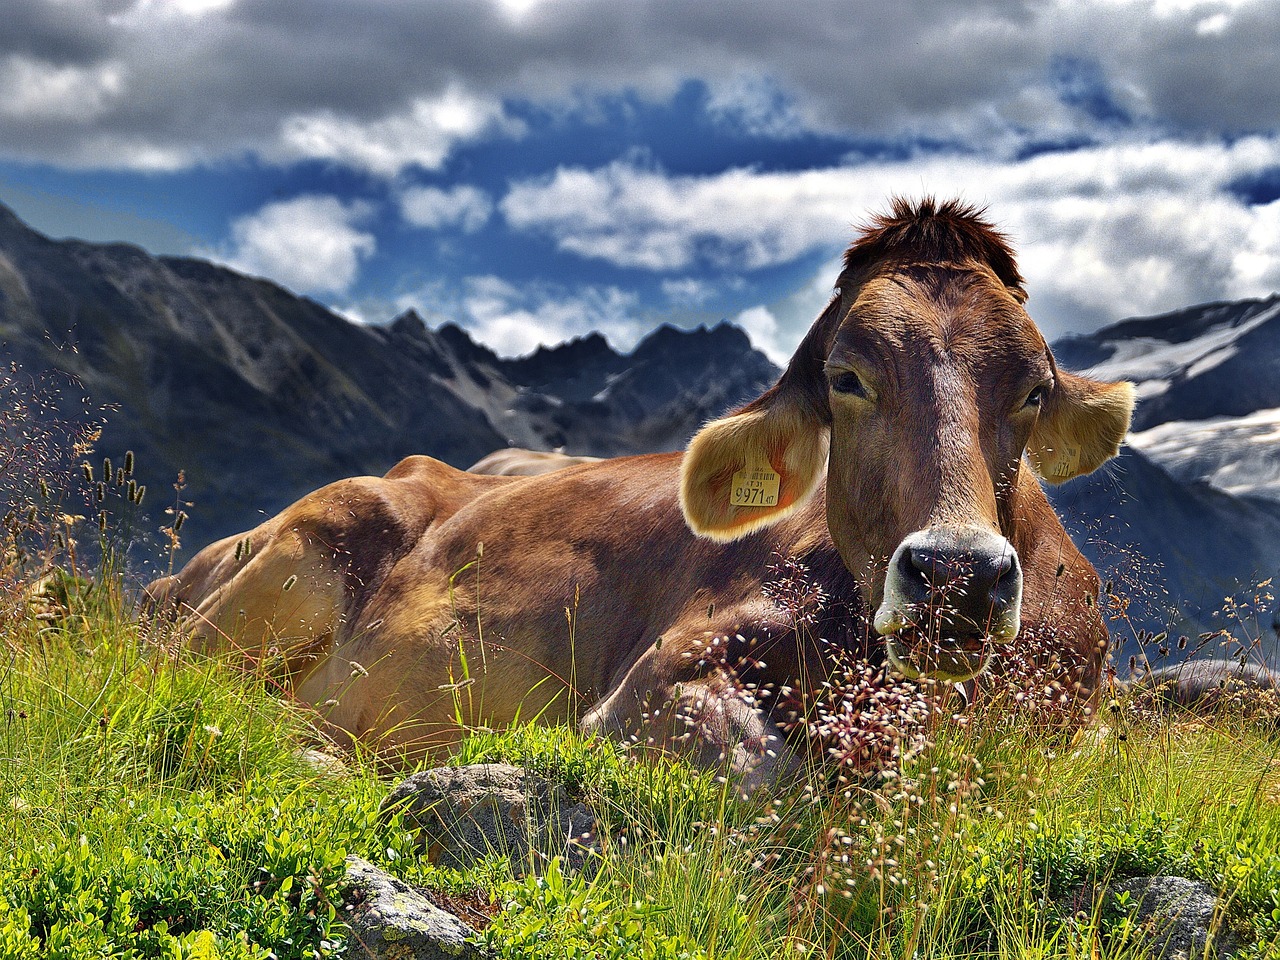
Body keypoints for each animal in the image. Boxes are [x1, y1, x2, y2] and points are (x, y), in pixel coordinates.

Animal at [145, 198, 1134, 789]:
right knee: (198, 683)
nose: (957, 575)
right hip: (302, 552)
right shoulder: (653, 683)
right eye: (847, 378)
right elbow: (770, 777)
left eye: (1033, 388)